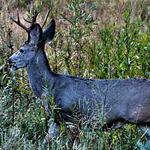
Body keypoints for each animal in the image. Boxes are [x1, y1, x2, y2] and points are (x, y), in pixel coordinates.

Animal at [8, 9, 150, 142]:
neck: (51, 86)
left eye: (21, 50)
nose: (9, 60)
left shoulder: (72, 116)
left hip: (143, 117)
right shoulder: (56, 119)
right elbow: (46, 140)